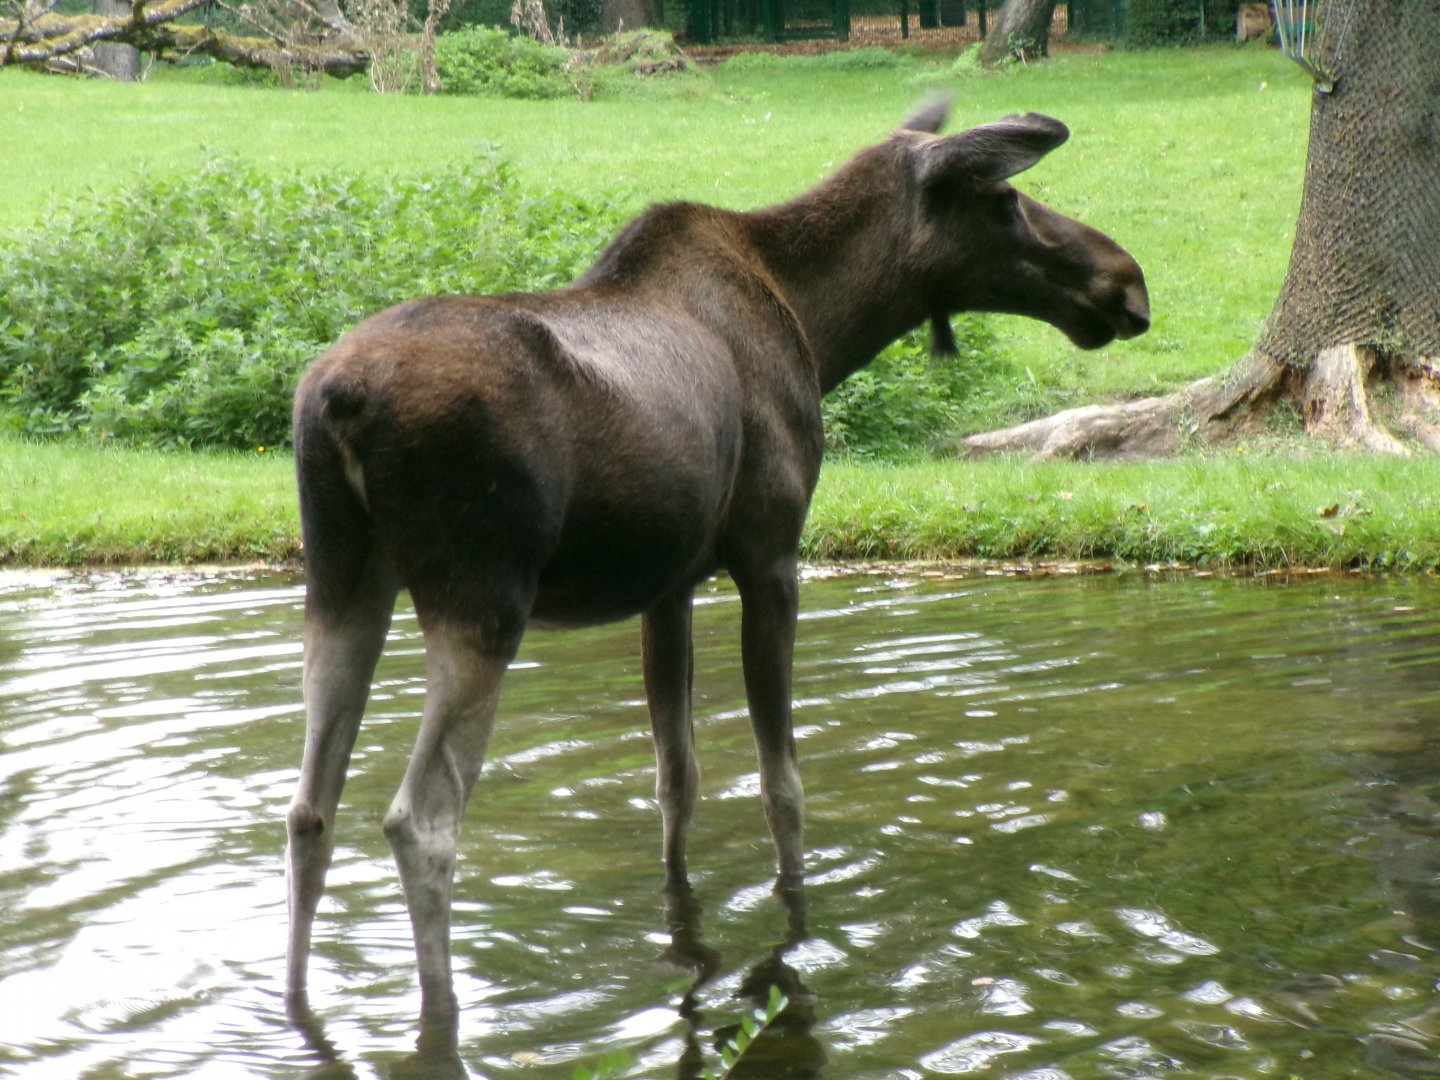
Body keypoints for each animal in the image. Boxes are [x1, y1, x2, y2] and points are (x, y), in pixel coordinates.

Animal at [285, 99, 1150, 1027]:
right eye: (1006, 199)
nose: (1128, 281)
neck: (822, 326)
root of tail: (339, 401)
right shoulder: (771, 555)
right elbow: (782, 786)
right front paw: (795, 924)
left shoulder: (667, 588)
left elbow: (679, 776)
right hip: (482, 594)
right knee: (421, 820)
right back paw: (440, 1010)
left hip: (341, 578)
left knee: (309, 809)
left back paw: (294, 999)